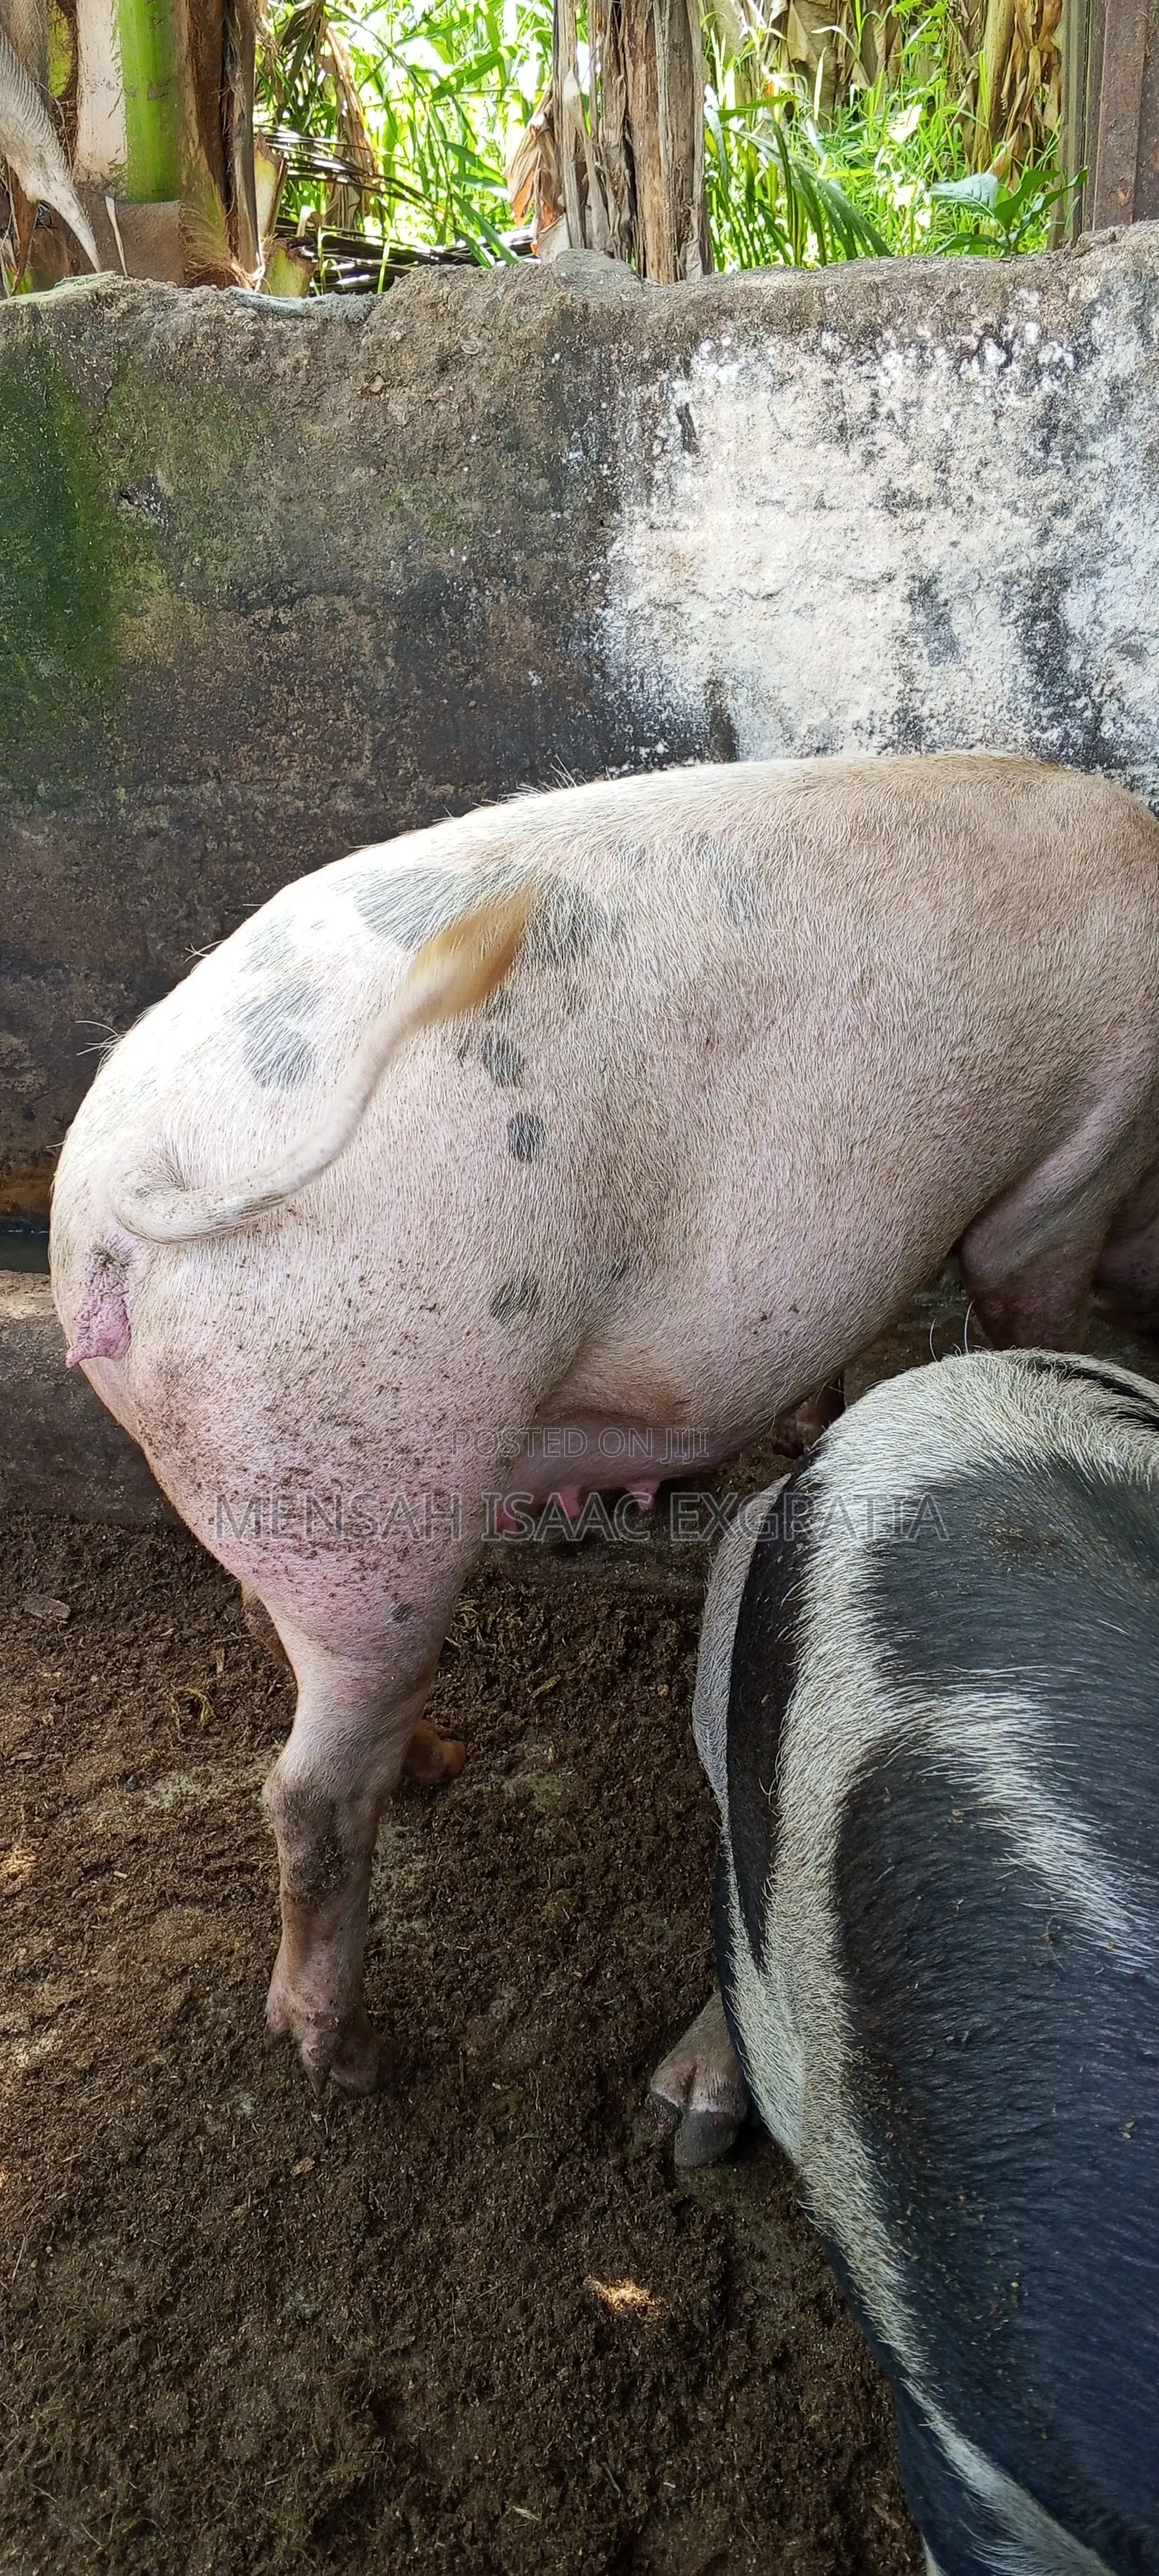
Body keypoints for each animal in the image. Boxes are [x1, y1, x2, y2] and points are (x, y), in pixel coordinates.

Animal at [49, 752, 1159, 2094]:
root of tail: (134, 1173)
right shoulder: (1078, 1163)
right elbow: (1022, 1293)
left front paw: (808, 1421)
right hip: (383, 1448)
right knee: (308, 1793)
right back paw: (353, 2053)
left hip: (286, 1480)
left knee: (280, 1630)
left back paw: (437, 1764)